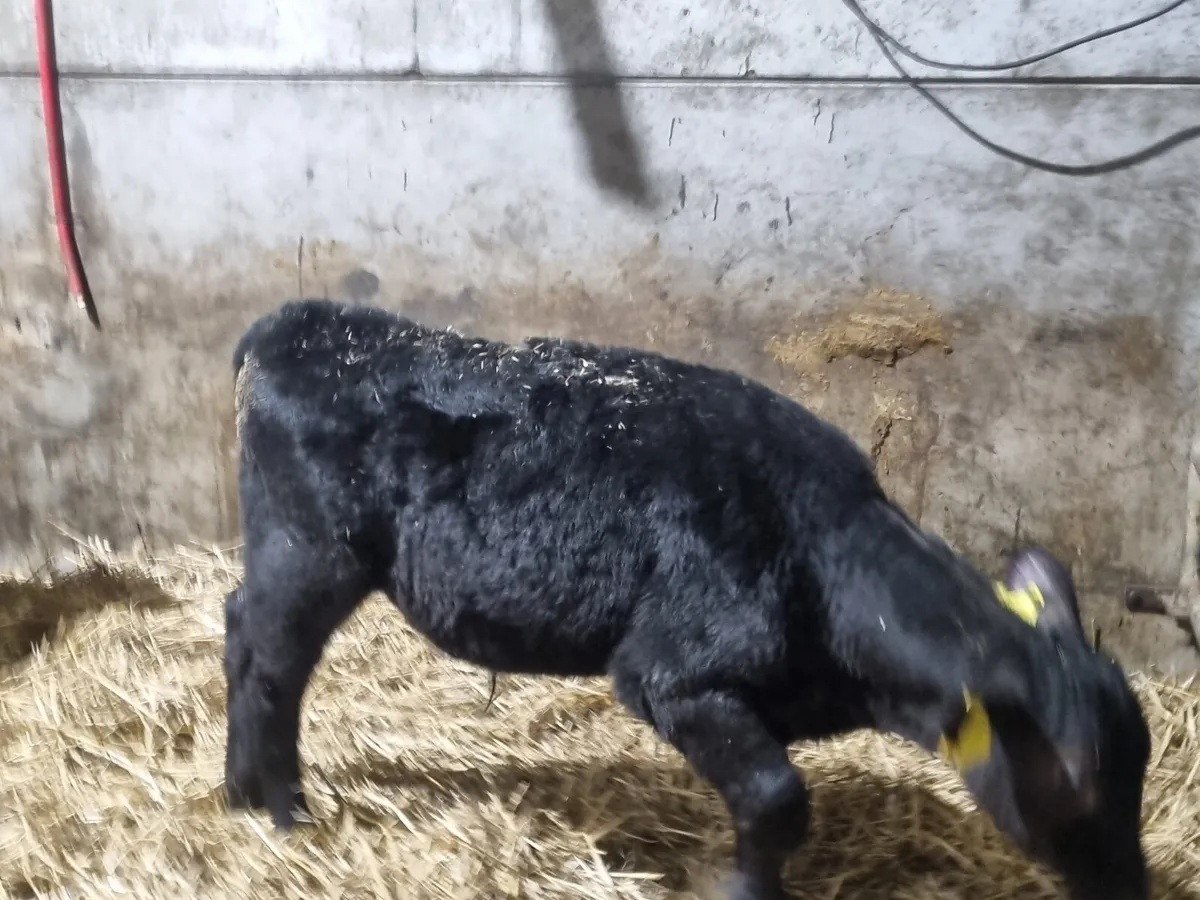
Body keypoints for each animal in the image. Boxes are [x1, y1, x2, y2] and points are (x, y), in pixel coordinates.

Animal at [223, 298, 1150, 900]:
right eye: (1075, 781)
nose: (1132, 889)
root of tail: (304, 320)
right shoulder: (671, 672)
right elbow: (778, 799)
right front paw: (737, 889)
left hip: (284, 544)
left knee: (239, 633)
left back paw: (236, 793)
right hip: (314, 550)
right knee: (273, 666)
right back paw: (287, 813)